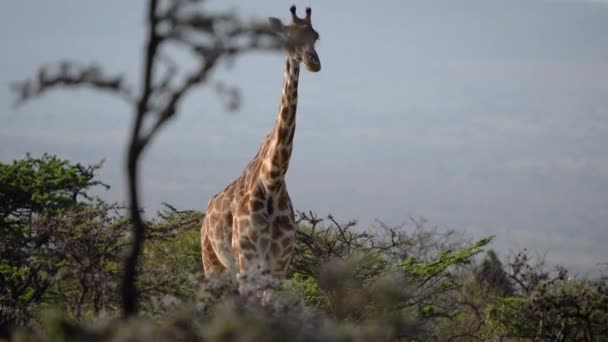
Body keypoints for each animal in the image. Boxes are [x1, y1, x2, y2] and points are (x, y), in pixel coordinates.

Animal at [201, 4, 324, 300]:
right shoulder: (248, 259)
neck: (273, 179)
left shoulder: (278, 265)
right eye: (288, 35)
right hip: (212, 263)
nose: (313, 61)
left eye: (316, 36)